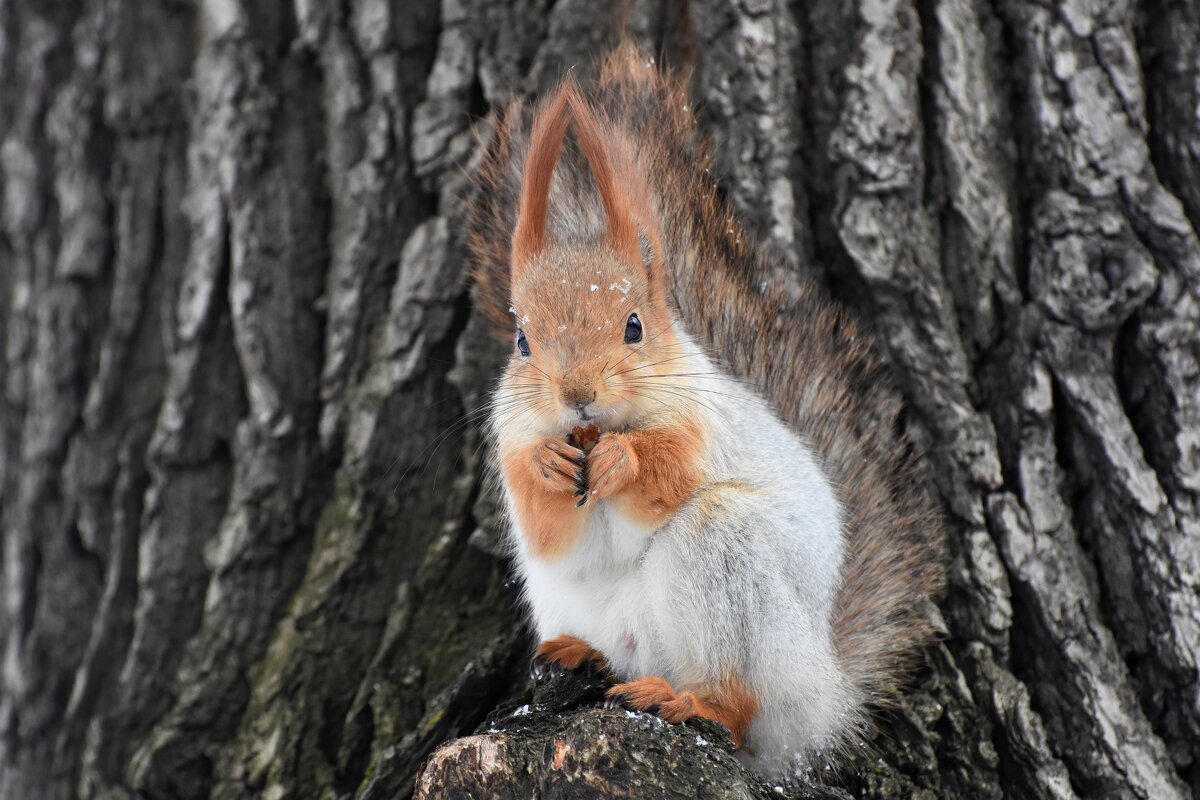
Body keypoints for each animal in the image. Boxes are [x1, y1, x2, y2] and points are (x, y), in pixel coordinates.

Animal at [468, 45, 945, 782]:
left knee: (739, 703)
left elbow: (664, 475)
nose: (577, 392)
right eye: (523, 340)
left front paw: (624, 460)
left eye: (634, 326)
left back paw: (693, 700)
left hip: (729, 568)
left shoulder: (701, 424)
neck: (603, 423)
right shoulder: (509, 434)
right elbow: (545, 526)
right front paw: (547, 464)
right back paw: (584, 654)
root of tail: (826, 696)